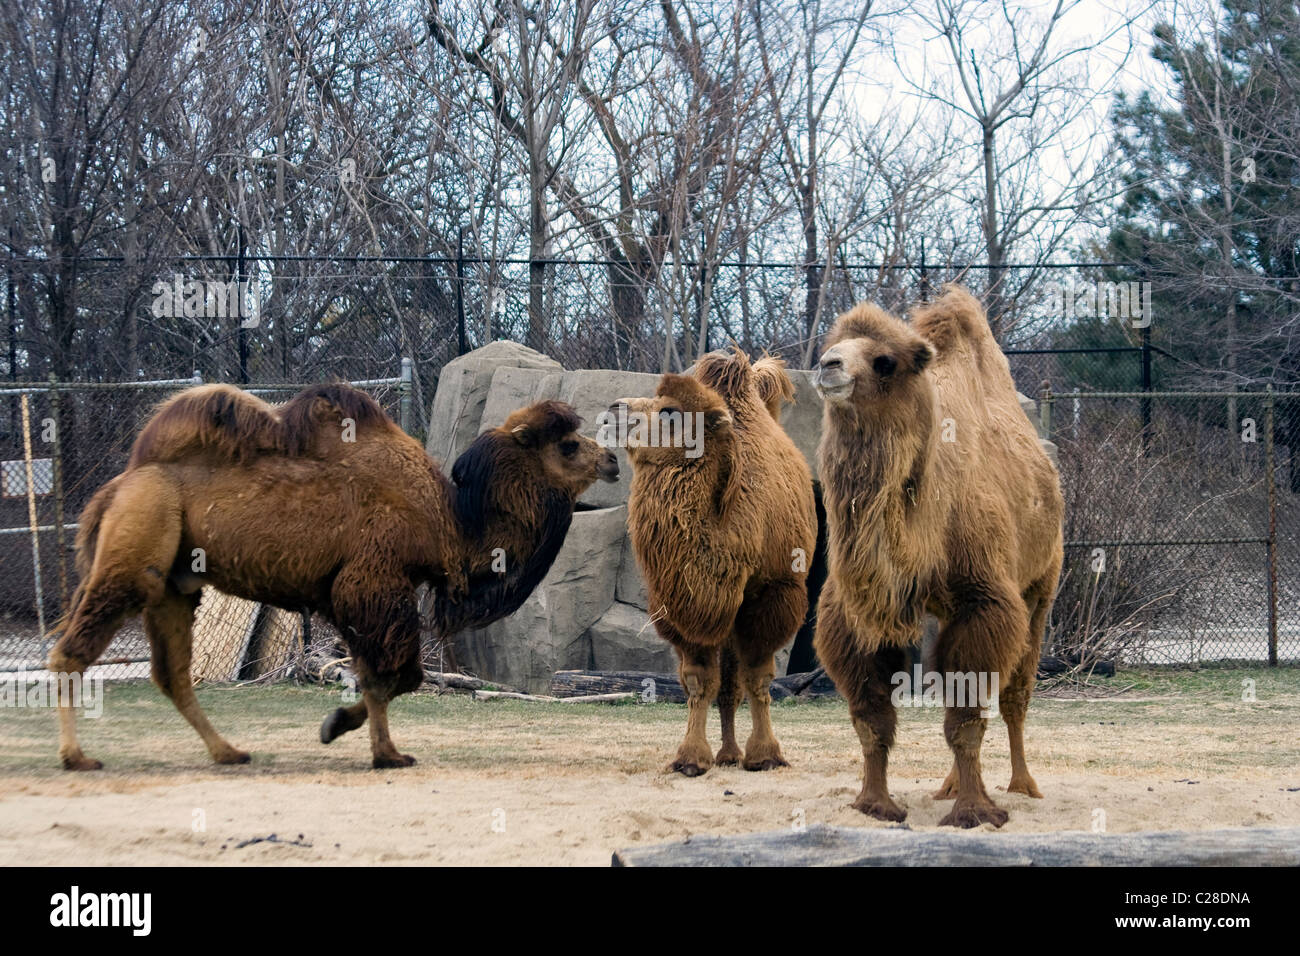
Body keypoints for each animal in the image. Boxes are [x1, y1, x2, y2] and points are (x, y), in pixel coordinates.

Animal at [48, 382, 616, 770]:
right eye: (567, 445)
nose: (611, 459)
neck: (451, 524)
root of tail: (118, 485)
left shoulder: (357, 595)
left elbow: (375, 676)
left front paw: (377, 748)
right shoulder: (373, 582)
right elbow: (398, 676)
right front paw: (357, 738)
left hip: (175, 585)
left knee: (172, 674)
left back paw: (229, 751)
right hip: (133, 558)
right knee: (72, 651)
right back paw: (77, 757)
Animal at [608, 351, 811, 780]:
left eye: (670, 411)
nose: (614, 409)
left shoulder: (772, 596)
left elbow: (758, 679)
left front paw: (766, 755)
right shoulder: (683, 605)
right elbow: (700, 682)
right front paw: (690, 759)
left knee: (737, 680)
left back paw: (735, 753)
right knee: (726, 683)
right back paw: (727, 753)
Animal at [811, 286, 1066, 832]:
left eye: (884, 361)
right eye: (833, 344)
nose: (828, 365)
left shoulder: (984, 601)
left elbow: (966, 717)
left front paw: (976, 812)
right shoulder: (857, 613)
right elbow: (872, 720)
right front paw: (875, 804)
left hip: (1042, 584)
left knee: (1016, 693)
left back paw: (1022, 786)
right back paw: (948, 786)